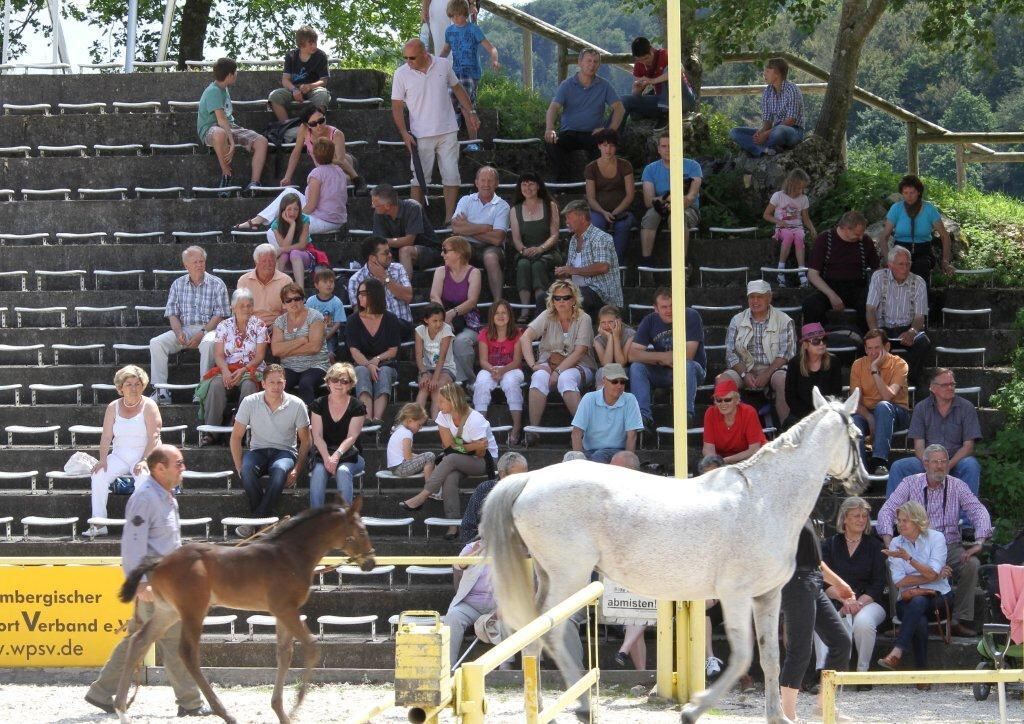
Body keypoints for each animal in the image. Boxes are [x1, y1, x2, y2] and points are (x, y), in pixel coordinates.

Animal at [113, 497, 376, 724]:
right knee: (187, 653)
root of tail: (160, 562)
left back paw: (121, 709)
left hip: (168, 611)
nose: (371, 562)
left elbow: (284, 654)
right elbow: (311, 647)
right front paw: (296, 706)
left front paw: (281, 712)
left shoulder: (283, 612)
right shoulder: (285, 609)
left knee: (139, 640)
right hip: (193, 610)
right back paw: (224, 713)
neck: (290, 554)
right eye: (363, 531)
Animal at [483, 387, 868, 720]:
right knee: (549, 630)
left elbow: (771, 657)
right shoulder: (736, 594)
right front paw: (693, 710)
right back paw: (580, 707)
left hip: (550, 575)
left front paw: (777, 717)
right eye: (858, 435)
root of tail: (530, 480)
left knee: (533, 631)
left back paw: (541, 705)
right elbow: (743, 656)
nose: (863, 480)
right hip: (569, 576)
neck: (764, 498)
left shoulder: (767, 595)